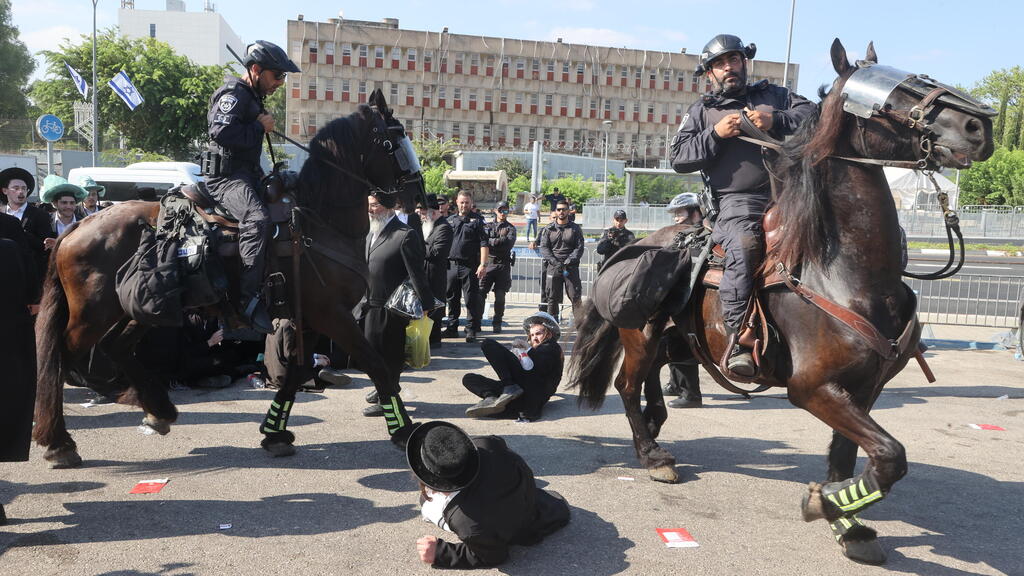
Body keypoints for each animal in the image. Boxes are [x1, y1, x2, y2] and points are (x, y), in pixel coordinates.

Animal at [569, 41, 991, 565]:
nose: (979, 127)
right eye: (892, 95)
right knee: (627, 385)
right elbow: (891, 456)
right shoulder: (811, 388)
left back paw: (655, 426)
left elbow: (850, 458)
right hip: (642, 336)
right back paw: (652, 455)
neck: (842, 272)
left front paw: (847, 523)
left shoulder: (864, 388)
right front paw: (823, 504)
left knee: (650, 379)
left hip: (679, 342)